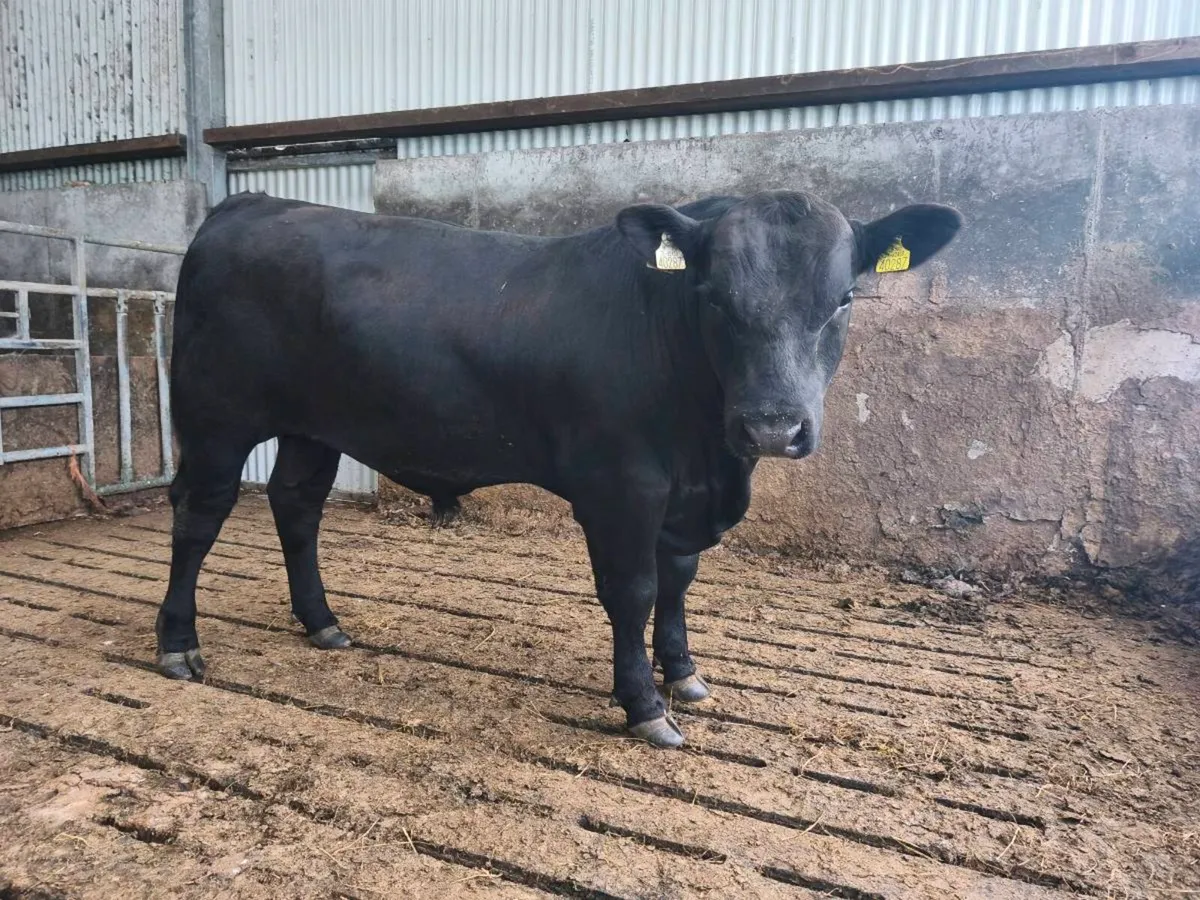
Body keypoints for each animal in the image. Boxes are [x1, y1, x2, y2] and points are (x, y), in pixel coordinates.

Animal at [155, 189, 961, 748]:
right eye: (712, 295)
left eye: (844, 298)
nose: (771, 425)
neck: (708, 451)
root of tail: (250, 203)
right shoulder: (622, 488)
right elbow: (633, 593)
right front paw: (645, 705)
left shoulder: (683, 499)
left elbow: (679, 582)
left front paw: (684, 674)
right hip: (217, 418)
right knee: (199, 514)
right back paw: (178, 644)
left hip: (311, 426)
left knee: (296, 503)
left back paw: (323, 623)